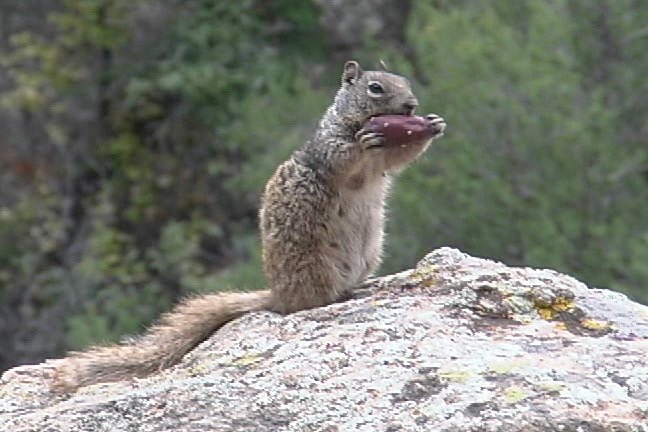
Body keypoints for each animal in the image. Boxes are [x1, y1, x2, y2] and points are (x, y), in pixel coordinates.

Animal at [52, 60, 446, 392]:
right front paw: (367, 140)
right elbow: (346, 158)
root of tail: (277, 295)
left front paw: (435, 124)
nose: (411, 105)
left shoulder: (388, 160)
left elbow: (402, 157)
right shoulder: (332, 147)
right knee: (312, 302)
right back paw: (337, 296)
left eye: (405, 82)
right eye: (375, 88)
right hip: (316, 267)